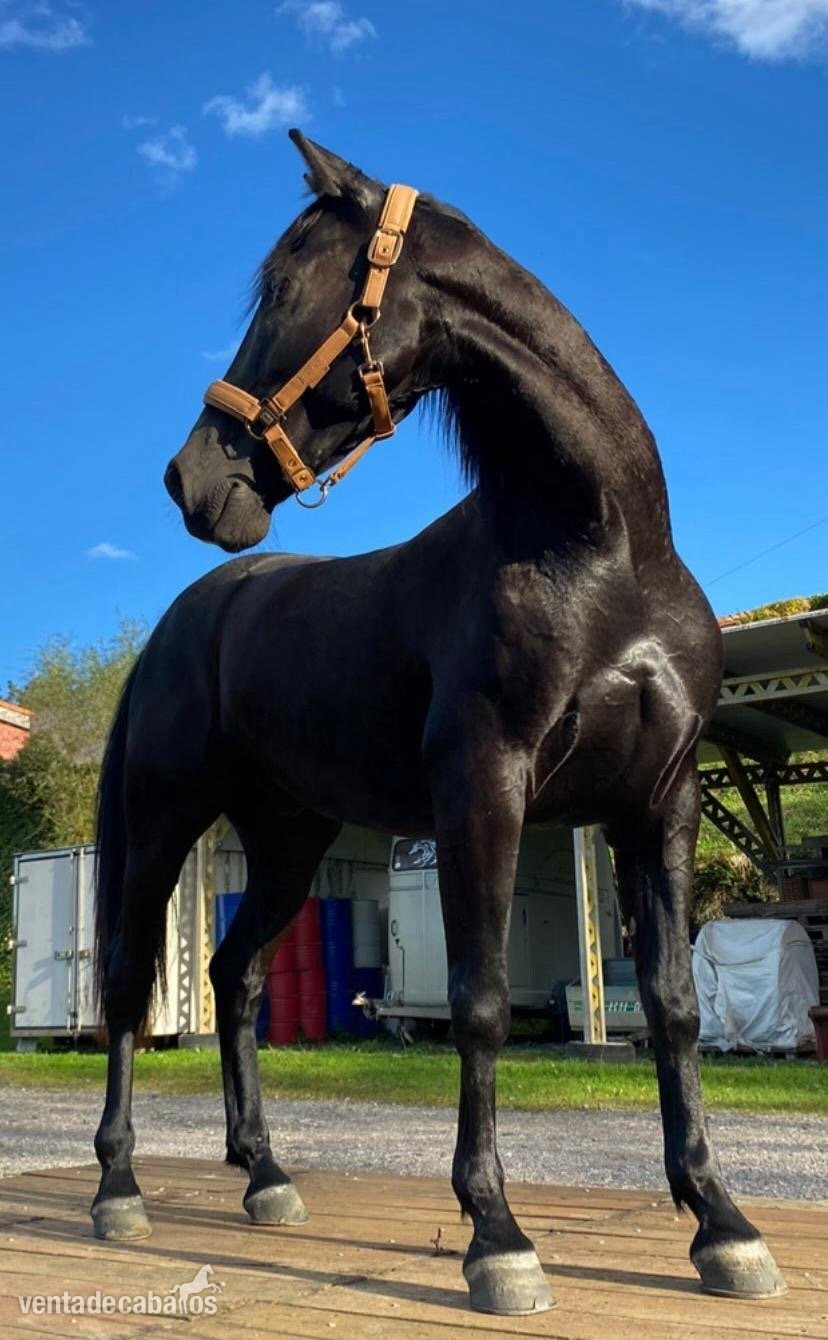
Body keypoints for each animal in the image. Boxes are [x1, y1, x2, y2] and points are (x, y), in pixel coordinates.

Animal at [91, 132, 785, 1314]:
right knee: (136, 981)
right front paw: (496, 1235)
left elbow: (674, 1003)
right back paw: (118, 1186)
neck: (601, 547)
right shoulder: (485, 791)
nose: (194, 478)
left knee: (233, 978)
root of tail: (186, 617)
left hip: (290, 840)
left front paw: (721, 1221)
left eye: (287, 291)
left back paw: (266, 1174)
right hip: (162, 827)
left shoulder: (664, 801)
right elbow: (484, 1000)